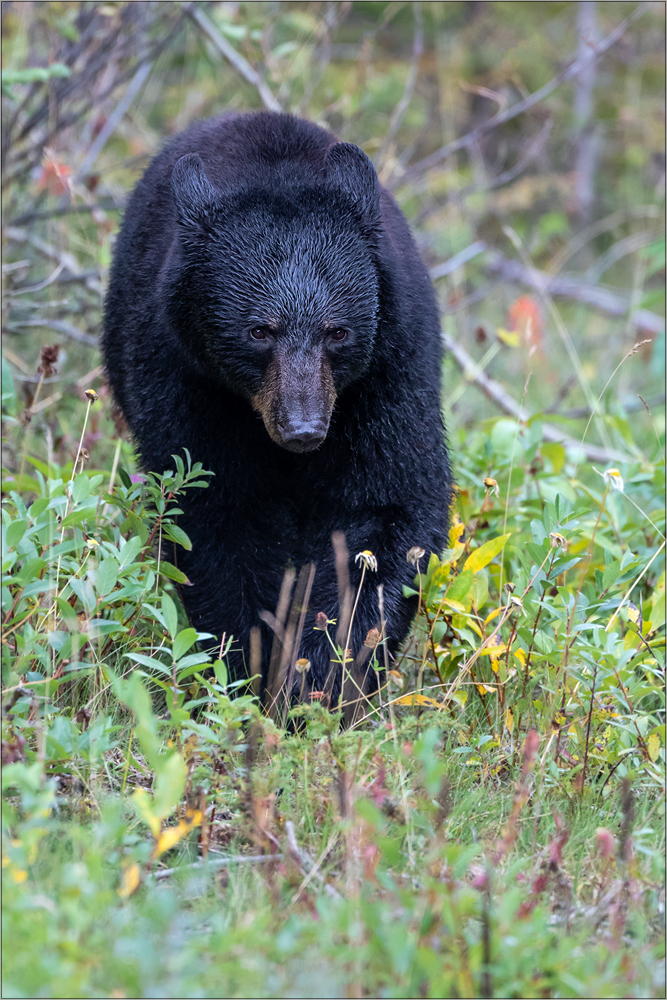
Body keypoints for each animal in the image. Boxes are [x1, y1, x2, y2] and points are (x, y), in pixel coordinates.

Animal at [102, 111, 452, 712]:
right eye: (258, 331)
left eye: (337, 331)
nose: (303, 428)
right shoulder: (185, 376)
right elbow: (218, 513)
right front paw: (253, 673)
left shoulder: (389, 366)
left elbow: (384, 508)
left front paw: (325, 680)